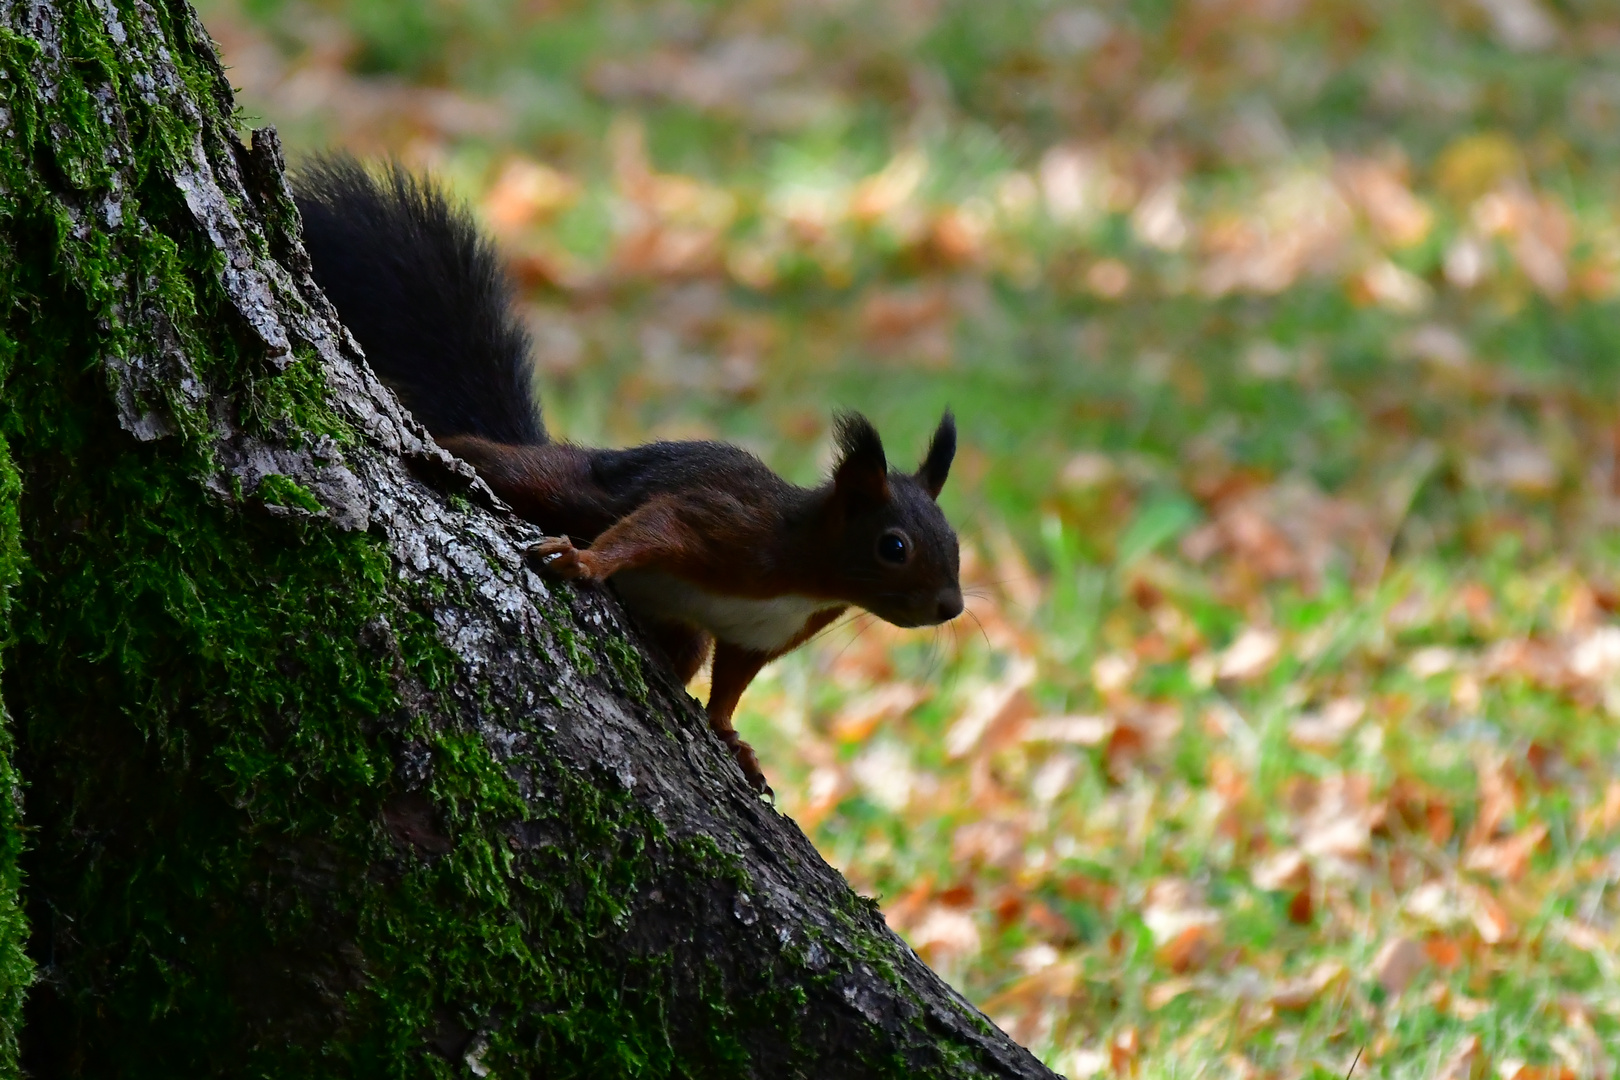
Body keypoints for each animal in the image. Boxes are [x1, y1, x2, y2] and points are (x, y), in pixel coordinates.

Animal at [293, 153, 959, 793]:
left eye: (954, 543)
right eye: (893, 547)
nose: (950, 607)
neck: (807, 582)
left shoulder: (758, 635)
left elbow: (731, 684)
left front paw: (731, 739)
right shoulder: (732, 528)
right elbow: (658, 526)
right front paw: (586, 562)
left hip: (681, 630)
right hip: (564, 484)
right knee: (511, 466)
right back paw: (447, 449)